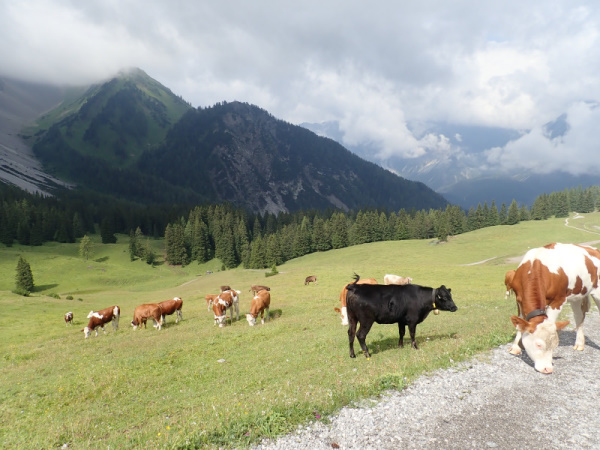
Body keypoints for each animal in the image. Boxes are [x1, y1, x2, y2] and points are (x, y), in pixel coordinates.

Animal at [506, 244, 600, 374]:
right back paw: (579, 343)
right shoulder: (519, 298)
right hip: (577, 296)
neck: (535, 266)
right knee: (579, 316)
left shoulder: (558, 300)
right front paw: (515, 347)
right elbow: (520, 322)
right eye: (539, 345)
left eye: (555, 345)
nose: (548, 369)